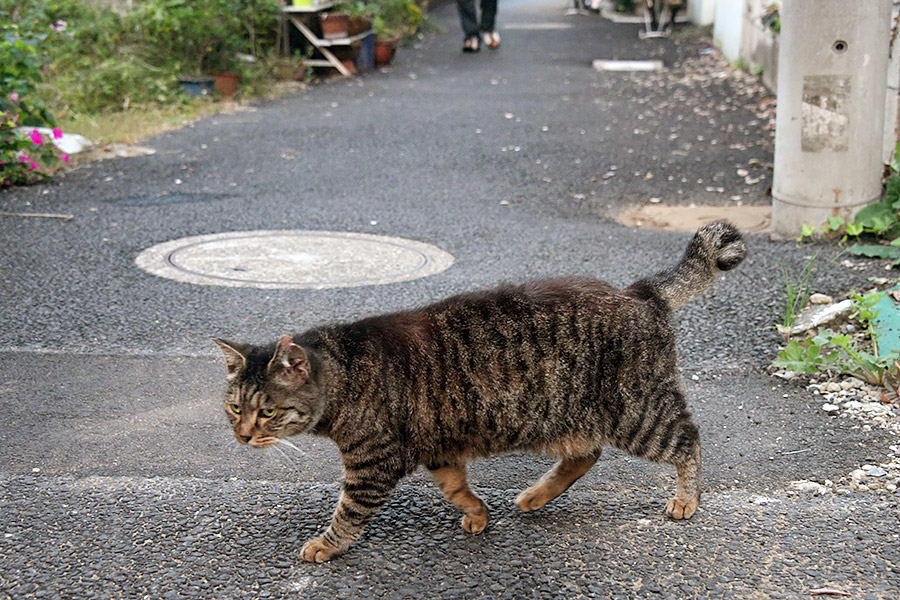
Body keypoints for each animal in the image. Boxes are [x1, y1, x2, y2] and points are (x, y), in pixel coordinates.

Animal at [213, 220, 744, 564]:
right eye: (234, 408)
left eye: (266, 413)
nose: (242, 436)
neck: (343, 378)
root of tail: (639, 292)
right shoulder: (438, 445)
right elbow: (455, 487)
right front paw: (477, 514)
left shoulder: (373, 462)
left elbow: (349, 511)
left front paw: (326, 544)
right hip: (569, 418)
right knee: (586, 453)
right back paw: (535, 496)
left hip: (636, 412)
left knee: (688, 439)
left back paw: (686, 499)